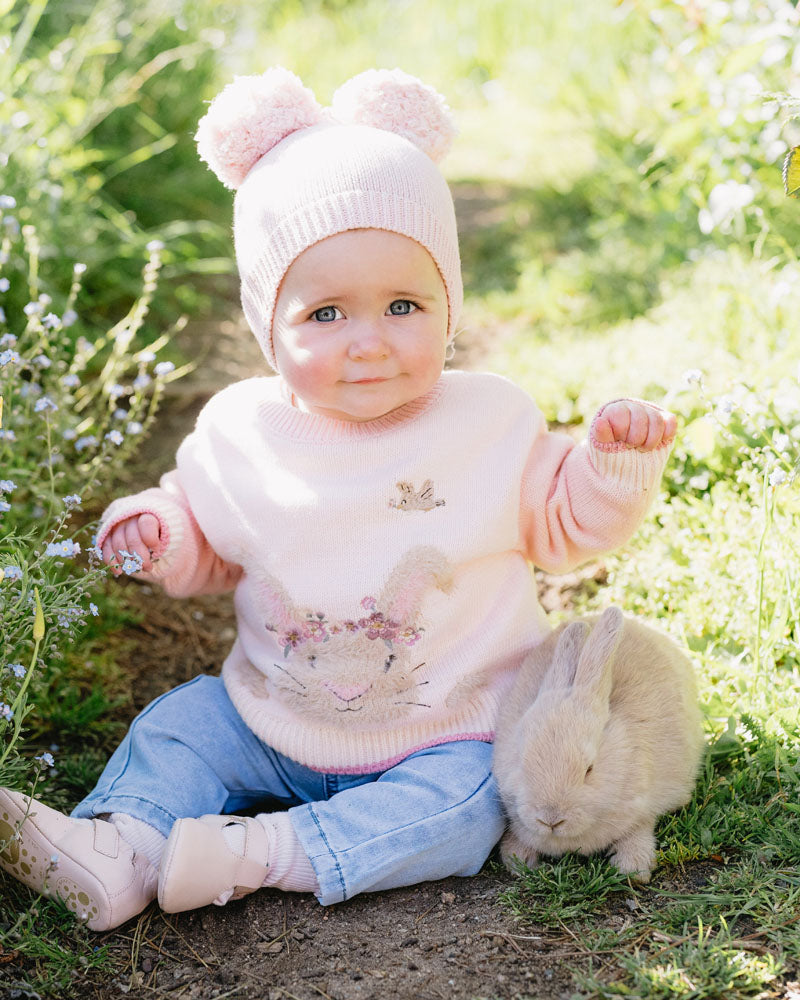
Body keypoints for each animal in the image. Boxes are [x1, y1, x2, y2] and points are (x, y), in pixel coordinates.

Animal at [493, 606, 705, 882]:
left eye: (589, 769)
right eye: (521, 761)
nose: (551, 819)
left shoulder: (646, 805)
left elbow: (640, 829)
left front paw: (633, 869)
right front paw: (518, 860)